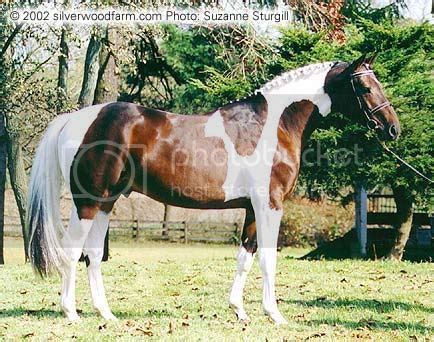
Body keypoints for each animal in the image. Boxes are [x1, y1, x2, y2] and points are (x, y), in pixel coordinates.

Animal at [26, 54, 400, 324]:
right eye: (365, 88)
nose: (393, 129)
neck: (273, 124)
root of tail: (76, 119)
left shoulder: (252, 208)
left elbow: (245, 257)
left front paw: (240, 310)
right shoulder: (270, 205)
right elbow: (267, 258)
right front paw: (275, 315)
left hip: (106, 202)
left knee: (92, 254)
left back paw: (106, 314)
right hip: (87, 203)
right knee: (72, 251)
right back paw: (70, 313)